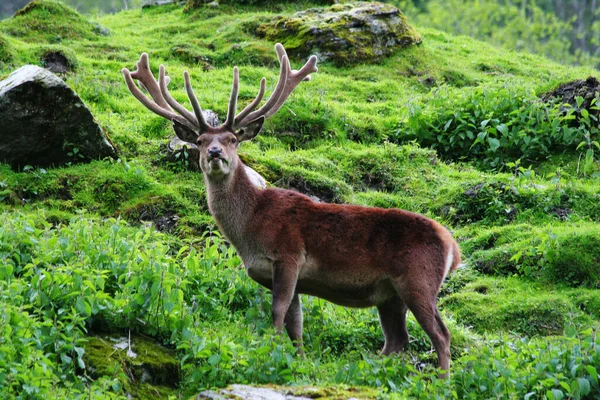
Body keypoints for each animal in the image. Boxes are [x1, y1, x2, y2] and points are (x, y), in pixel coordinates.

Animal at [120, 44, 460, 378]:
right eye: (201, 141)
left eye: (233, 139)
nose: (215, 153)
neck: (249, 229)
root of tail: (452, 246)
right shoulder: (289, 276)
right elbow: (295, 325)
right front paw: (298, 362)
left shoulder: (288, 255)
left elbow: (278, 313)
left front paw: (268, 353)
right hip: (390, 295)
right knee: (398, 339)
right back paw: (369, 372)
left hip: (418, 281)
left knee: (441, 334)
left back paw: (441, 381)